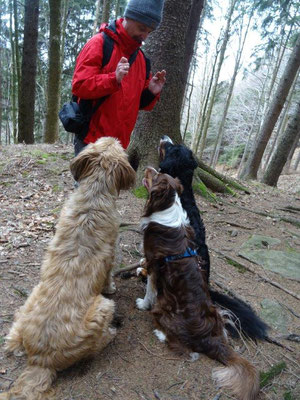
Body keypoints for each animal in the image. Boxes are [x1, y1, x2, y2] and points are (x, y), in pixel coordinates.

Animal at [0, 136, 136, 398]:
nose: (113, 137)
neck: (94, 195)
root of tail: (40, 361)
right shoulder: (111, 254)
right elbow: (108, 277)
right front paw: (112, 286)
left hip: (30, 299)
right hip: (103, 307)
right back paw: (111, 334)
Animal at [137, 168, 258, 400]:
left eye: (155, 176)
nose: (148, 167)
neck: (167, 207)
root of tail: (212, 340)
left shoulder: (154, 263)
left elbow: (150, 288)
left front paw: (142, 303)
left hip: (165, 310)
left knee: (184, 348)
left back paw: (160, 333)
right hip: (219, 314)